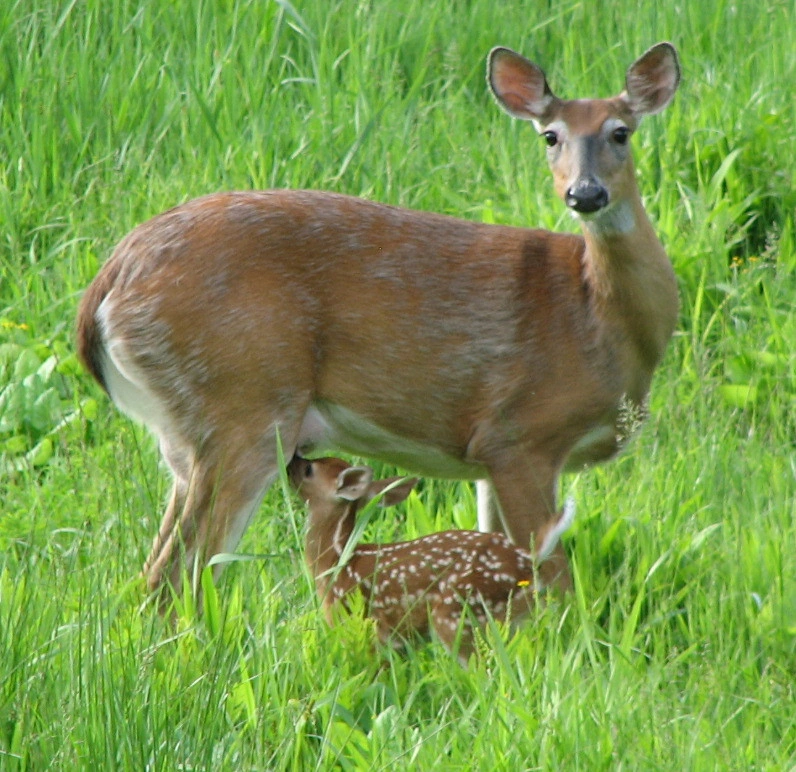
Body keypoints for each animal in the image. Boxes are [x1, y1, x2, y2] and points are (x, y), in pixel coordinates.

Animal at [77, 43, 680, 604]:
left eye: (621, 132)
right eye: (550, 136)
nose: (585, 193)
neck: (599, 319)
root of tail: (107, 289)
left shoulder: (489, 456)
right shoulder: (519, 433)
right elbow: (553, 579)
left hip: (185, 435)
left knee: (154, 570)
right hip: (243, 405)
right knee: (176, 574)